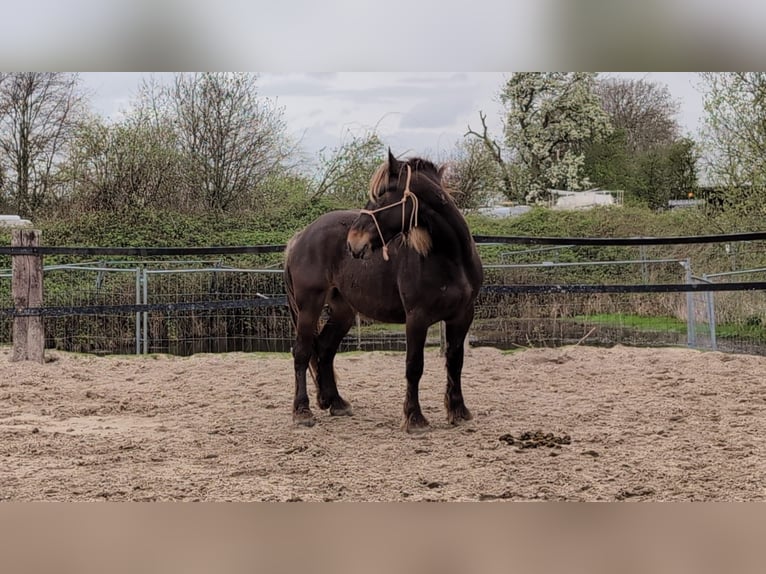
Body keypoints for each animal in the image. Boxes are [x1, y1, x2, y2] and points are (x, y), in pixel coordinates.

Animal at [284, 152, 484, 432]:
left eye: (381, 194)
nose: (354, 243)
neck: (451, 259)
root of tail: (300, 237)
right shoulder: (417, 318)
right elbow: (414, 366)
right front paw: (414, 418)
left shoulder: (462, 316)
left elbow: (455, 362)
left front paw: (458, 412)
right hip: (308, 307)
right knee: (302, 352)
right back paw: (302, 411)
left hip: (343, 311)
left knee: (324, 349)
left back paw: (336, 402)